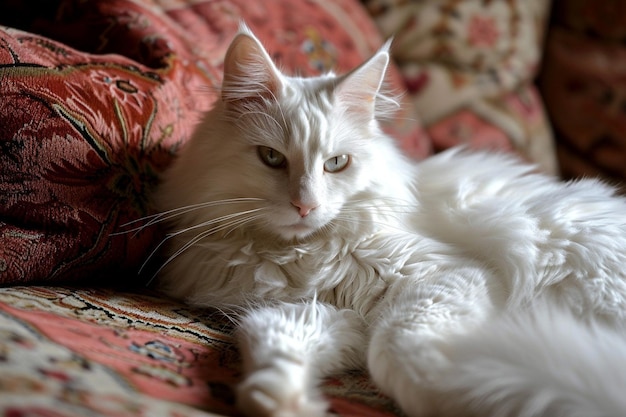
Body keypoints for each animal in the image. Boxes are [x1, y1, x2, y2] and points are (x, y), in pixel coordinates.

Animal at [154, 26, 624, 416]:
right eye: (271, 158)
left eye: (336, 163)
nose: (305, 206)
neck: (301, 255)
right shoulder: (305, 312)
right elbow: (270, 345)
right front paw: (284, 403)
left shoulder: (447, 276)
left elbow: (399, 347)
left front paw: (469, 381)